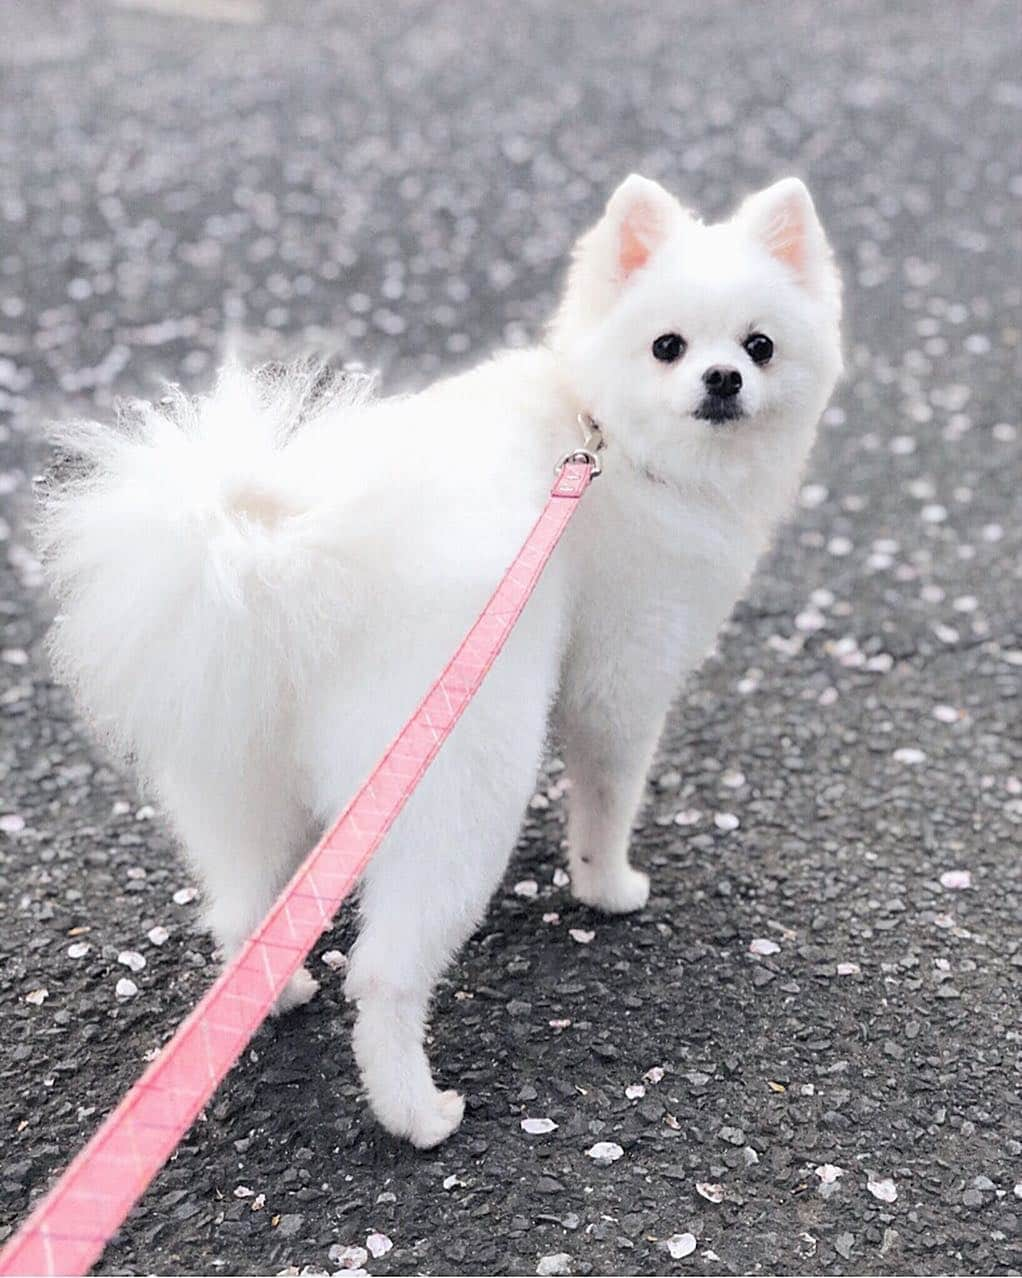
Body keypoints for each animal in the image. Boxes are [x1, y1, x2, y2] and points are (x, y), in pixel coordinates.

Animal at [38, 172, 838, 1150]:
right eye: (669, 346)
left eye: (761, 346)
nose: (723, 378)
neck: (604, 439)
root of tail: (281, 575)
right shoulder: (622, 672)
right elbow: (608, 798)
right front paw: (608, 887)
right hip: (457, 783)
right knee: (384, 974)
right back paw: (418, 1113)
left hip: (237, 774)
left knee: (243, 910)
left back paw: (277, 995)